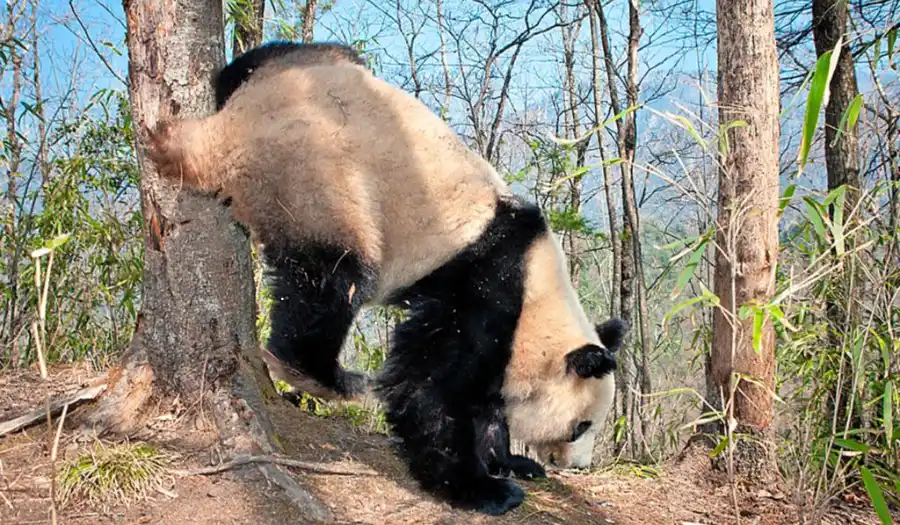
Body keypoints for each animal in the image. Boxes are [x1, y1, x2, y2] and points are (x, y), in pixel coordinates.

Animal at [144, 41, 626, 516]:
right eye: (581, 425)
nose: (578, 465)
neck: (539, 290)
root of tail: (225, 130)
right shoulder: (485, 285)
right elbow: (432, 385)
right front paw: (481, 488)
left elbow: (484, 398)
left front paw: (513, 462)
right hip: (316, 181)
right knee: (333, 280)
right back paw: (326, 376)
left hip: (298, 71)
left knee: (269, 59)